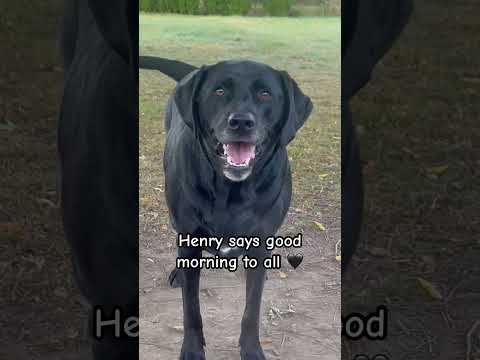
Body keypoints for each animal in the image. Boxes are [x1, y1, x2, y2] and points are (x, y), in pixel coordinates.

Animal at [140, 55, 312, 358]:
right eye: (219, 91)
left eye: (265, 94)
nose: (241, 122)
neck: (231, 191)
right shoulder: (189, 239)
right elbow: (191, 309)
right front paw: (192, 350)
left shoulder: (261, 240)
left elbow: (251, 310)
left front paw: (252, 350)